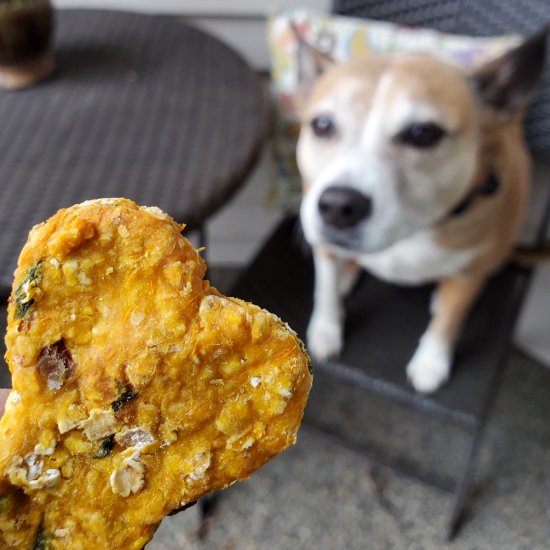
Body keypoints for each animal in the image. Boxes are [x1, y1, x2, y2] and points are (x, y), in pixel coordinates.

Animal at [298, 28, 548, 394]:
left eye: (423, 133)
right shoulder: (322, 244)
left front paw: (432, 361)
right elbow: (324, 287)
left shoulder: (470, 272)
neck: (413, 227)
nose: (337, 207)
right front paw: (326, 327)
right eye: (322, 125)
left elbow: (448, 322)